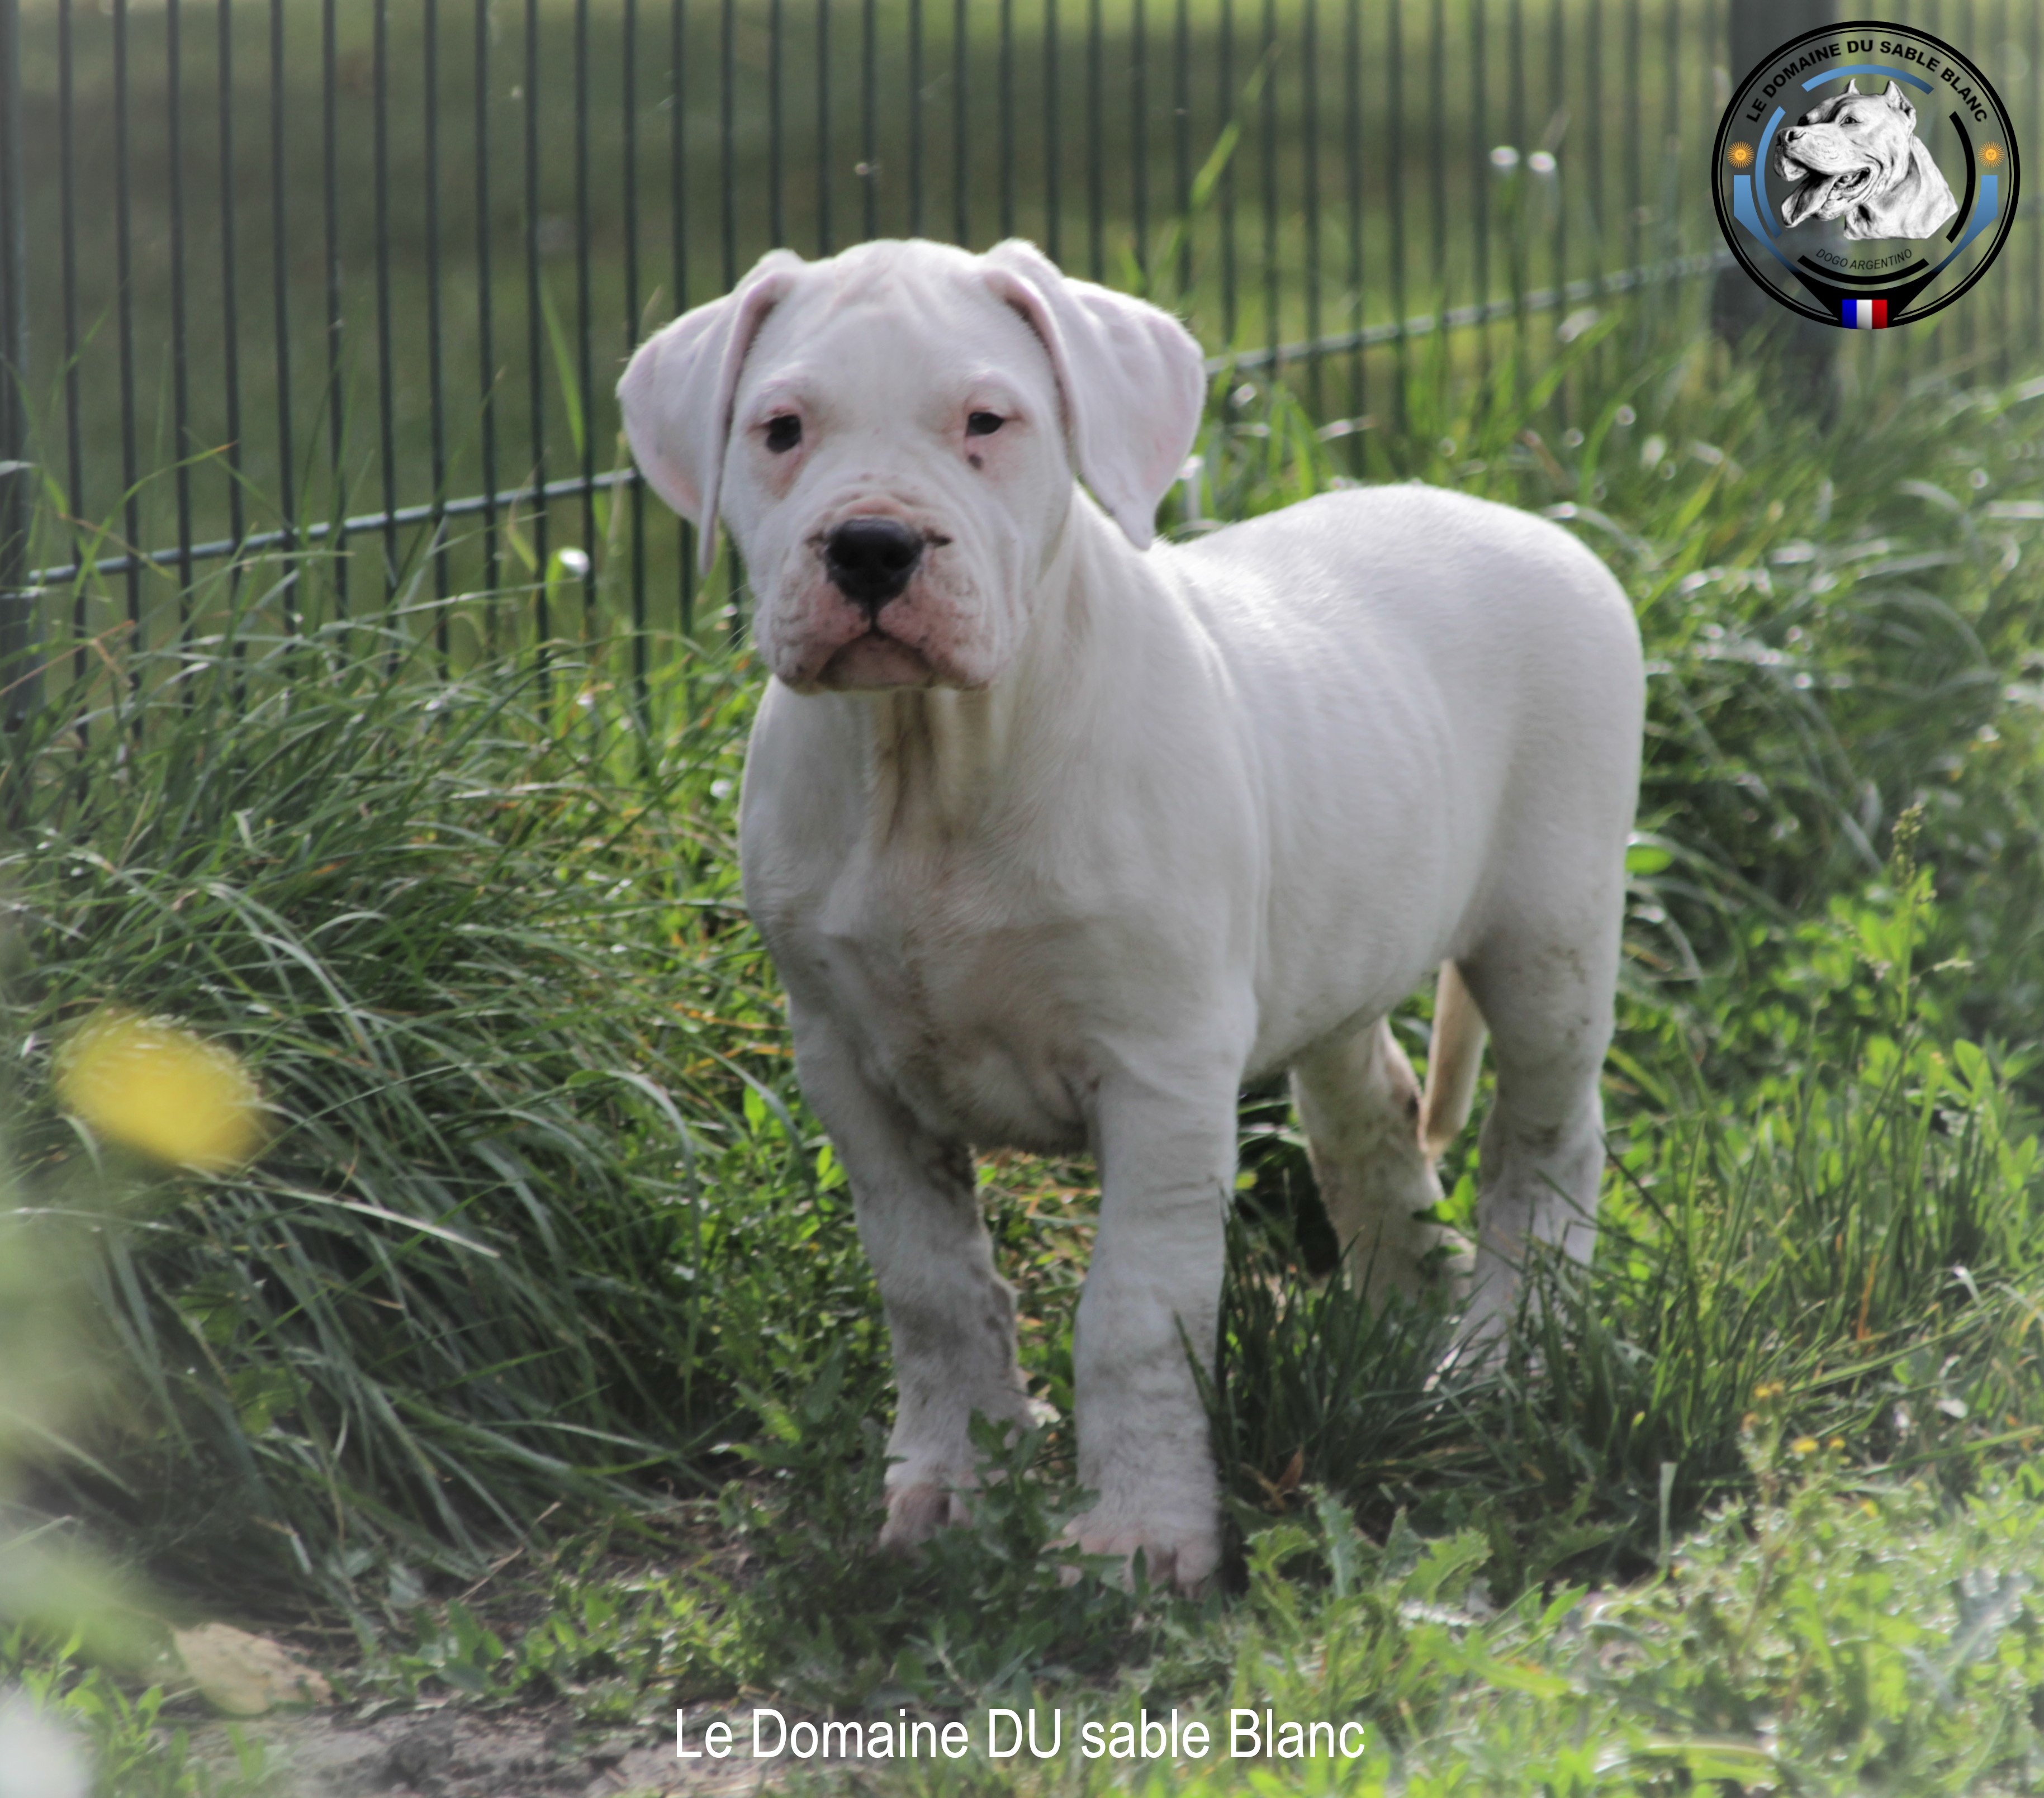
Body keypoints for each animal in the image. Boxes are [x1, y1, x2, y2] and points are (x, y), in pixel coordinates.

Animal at [621, 242, 1643, 1585]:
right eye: (780, 430)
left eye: (986, 423)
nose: (872, 547)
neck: (930, 763)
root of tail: (1531, 525)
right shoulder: (848, 1068)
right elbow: (930, 1287)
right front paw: (947, 1485)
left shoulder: (1160, 1074)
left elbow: (1135, 1312)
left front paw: (1138, 1536)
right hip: (1338, 944)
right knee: (1366, 1119)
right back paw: (1402, 1320)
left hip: (1547, 937)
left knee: (1547, 1144)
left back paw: (1503, 1356)